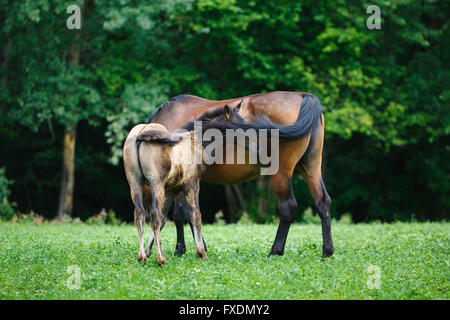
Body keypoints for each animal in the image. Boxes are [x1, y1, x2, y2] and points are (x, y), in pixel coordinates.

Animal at [148, 90, 334, 258]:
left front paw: (183, 249)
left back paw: (275, 251)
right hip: (311, 168)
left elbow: (182, 214)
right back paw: (327, 251)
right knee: (322, 202)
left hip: (281, 173)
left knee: (288, 206)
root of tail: (304, 96)